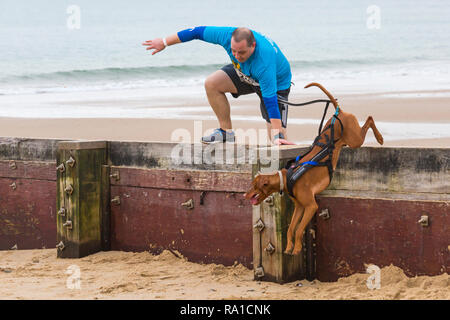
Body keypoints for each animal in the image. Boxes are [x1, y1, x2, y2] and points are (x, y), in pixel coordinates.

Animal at [243, 82, 384, 255]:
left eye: (254, 186)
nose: (244, 194)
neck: (287, 177)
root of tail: (339, 112)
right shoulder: (299, 207)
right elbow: (290, 228)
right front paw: (289, 247)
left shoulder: (311, 206)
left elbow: (298, 230)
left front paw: (297, 248)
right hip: (349, 139)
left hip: (355, 139)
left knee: (369, 118)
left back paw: (380, 138)